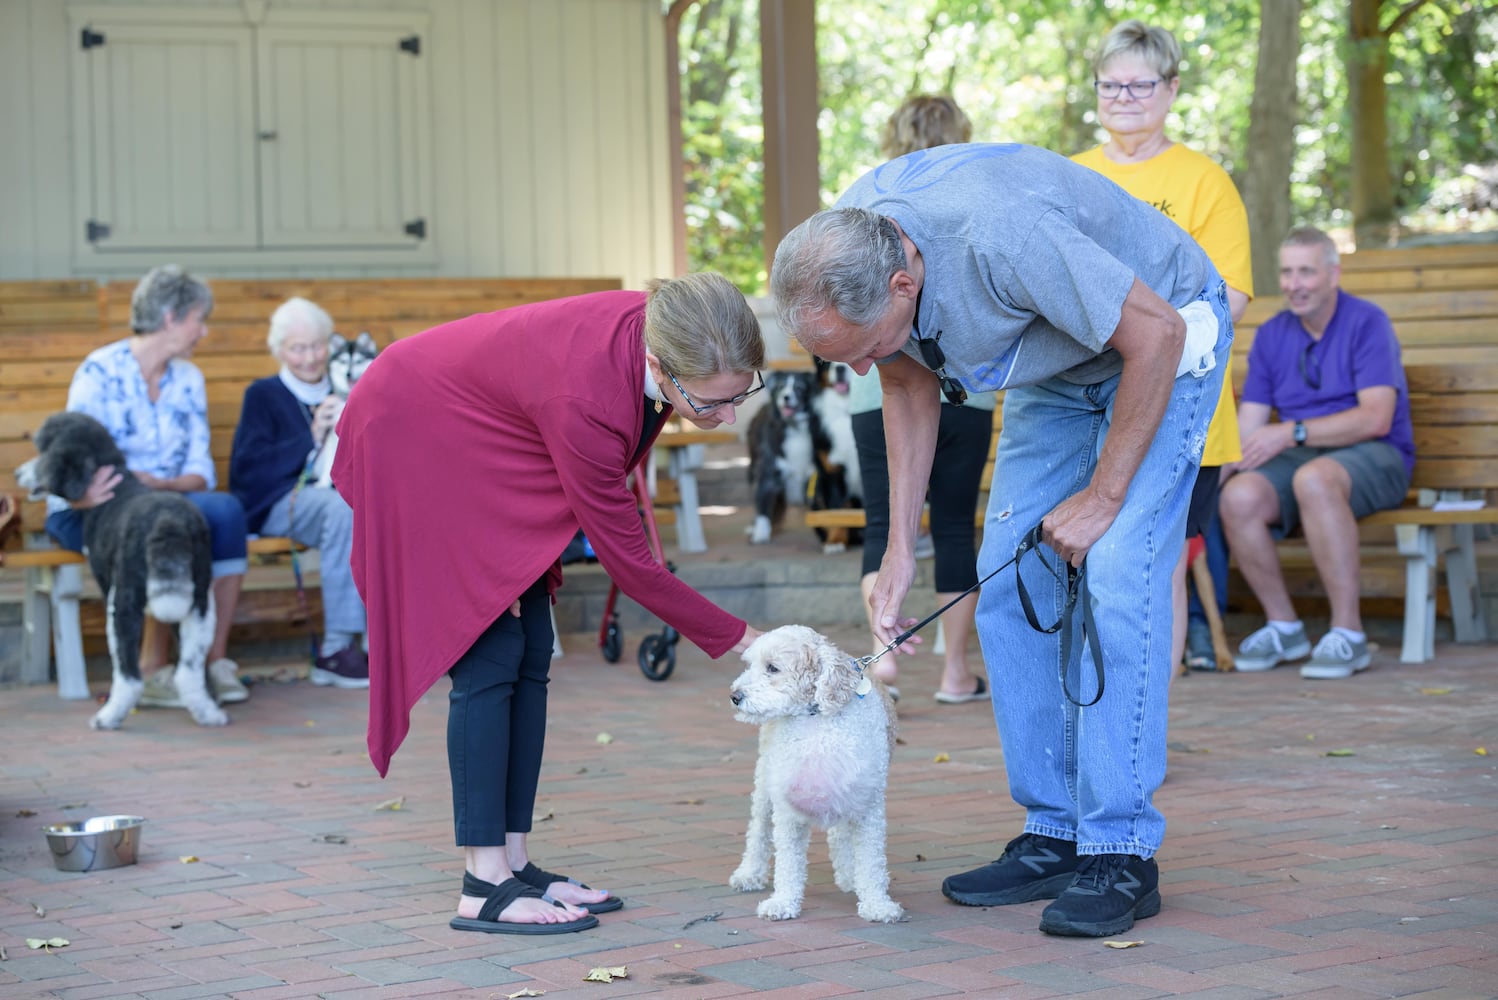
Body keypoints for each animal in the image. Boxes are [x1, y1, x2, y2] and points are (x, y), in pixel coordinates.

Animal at [15, 410, 227, 730]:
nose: (17, 473)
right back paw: (208, 713)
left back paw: (110, 715)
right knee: (189, 670)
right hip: (201, 601)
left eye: (44, 451)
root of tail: (168, 521)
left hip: (123, 605)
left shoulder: (111, 590)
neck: (114, 487)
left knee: (129, 675)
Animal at [728, 625, 898, 922]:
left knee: (840, 836)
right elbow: (787, 863)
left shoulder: (868, 806)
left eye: (772, 668)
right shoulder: (787, 811)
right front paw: (783, 902)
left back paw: (848, 875)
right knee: (758, 831)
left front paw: (877, 904)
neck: (816, 720)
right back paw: (749, 873)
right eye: (749, 664)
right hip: (764, 784)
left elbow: (871, 862)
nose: (735, 696)